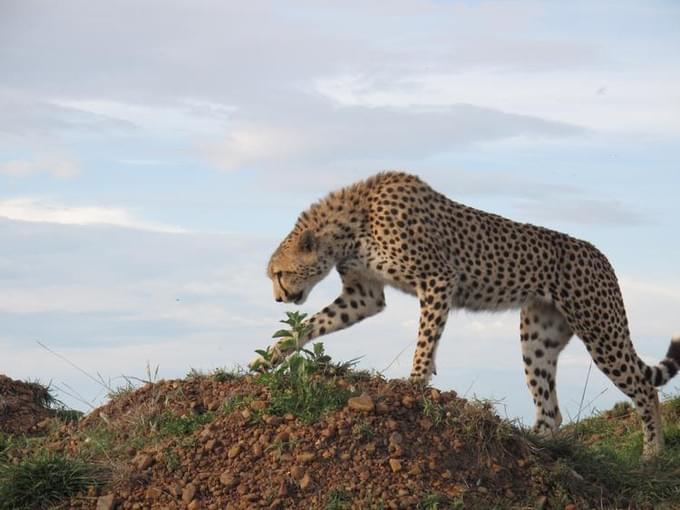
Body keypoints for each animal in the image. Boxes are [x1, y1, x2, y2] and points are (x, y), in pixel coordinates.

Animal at [255, 172, 680, 458]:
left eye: (279, 274)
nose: (278, 298)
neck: (349, 226)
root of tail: (599, 254)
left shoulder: (438, 279)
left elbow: (425, 342)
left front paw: (414, 383)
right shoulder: (364, 295)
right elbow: (312, 326)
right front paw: (270, 358)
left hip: (600, 330)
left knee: (645, 389)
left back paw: (652, 453)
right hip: (537, 338)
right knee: (551, 410)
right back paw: (534, 447)